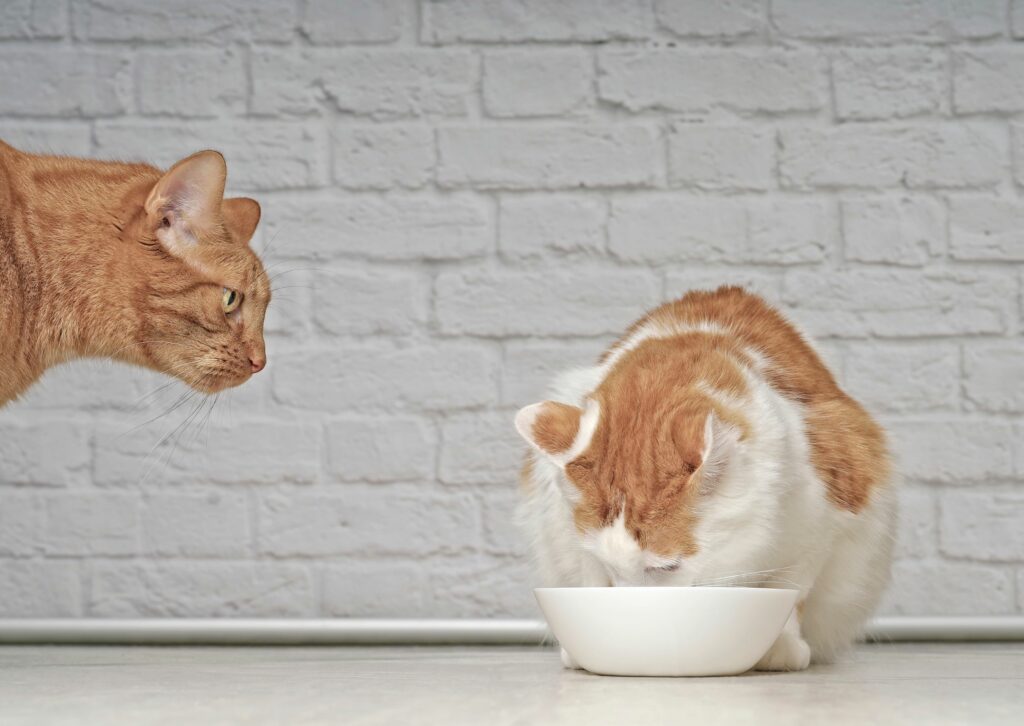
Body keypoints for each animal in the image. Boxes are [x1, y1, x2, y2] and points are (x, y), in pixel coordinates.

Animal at [516, 286, 892, 671]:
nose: (636, 609)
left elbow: (794, 588)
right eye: (610, 567)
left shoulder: (827, 521)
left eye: (666, 566)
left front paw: (781, 646)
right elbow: (588, 578)